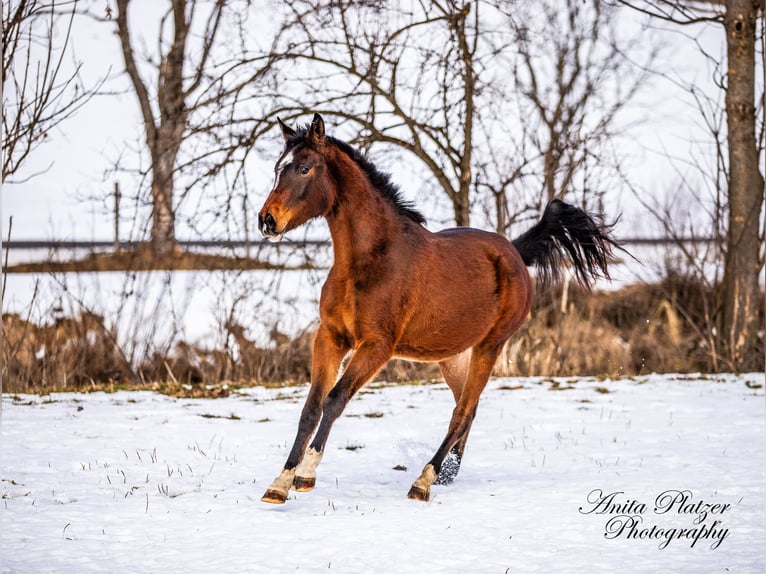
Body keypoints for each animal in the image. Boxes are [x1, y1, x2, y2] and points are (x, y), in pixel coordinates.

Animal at [260, 115, 620, 506]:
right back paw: (447, 473)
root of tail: (514, 251)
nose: (267, 221)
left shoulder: (377, 346)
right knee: (467, 407)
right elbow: (311, 408)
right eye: (277, 168)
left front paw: (306, 475)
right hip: (452, 355)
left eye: (304, 168)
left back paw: (424, 481)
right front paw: (279, 484)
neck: (368, 261)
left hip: (490, 346)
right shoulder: (330, 338)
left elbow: (335, 399)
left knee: (462, 411)